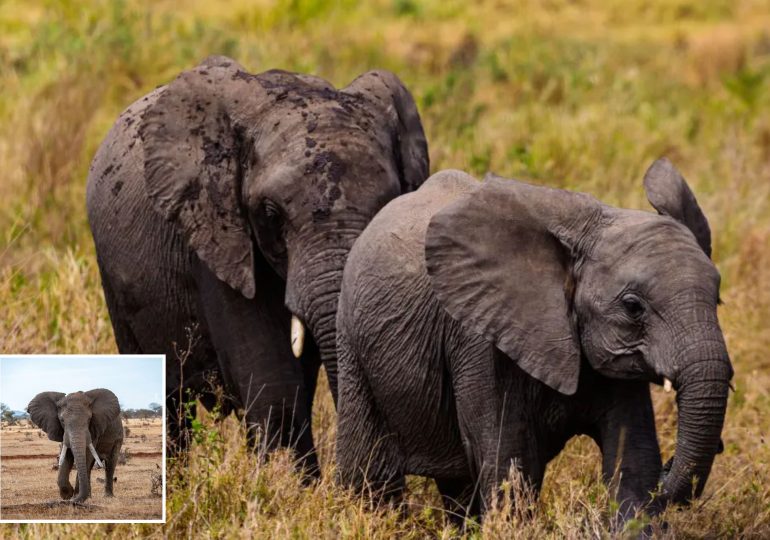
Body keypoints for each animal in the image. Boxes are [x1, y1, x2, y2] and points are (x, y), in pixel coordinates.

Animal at [335, 162, 732, 522]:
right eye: (633, 307)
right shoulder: (481, 341)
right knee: (371, 474)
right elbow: (509, 463)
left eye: (717, 299)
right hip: (352, 342)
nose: (673, 469)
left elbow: (634, 460)